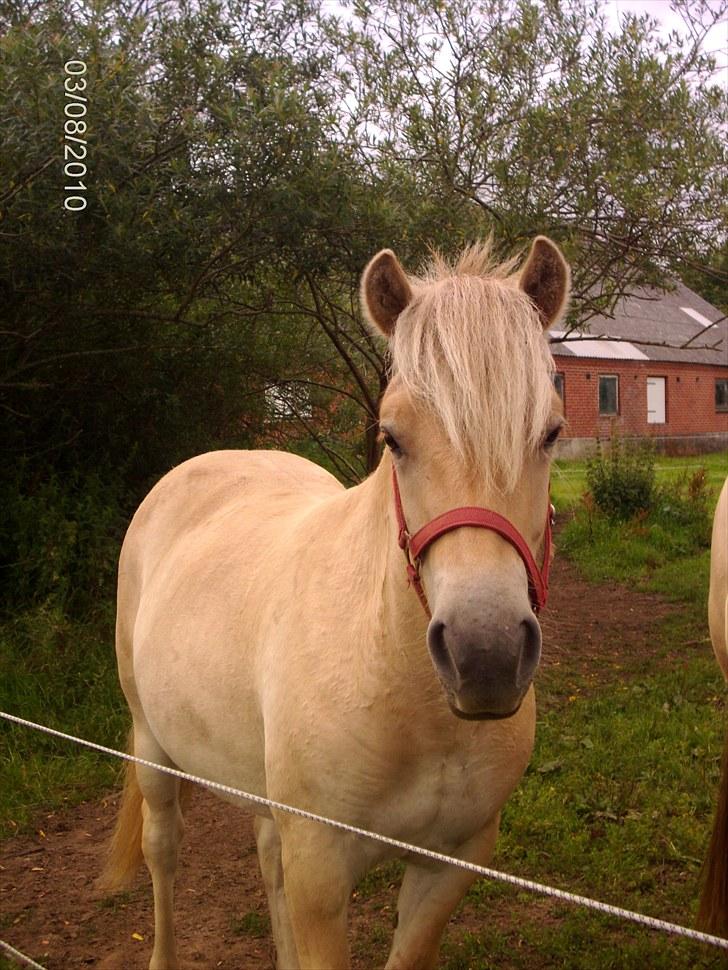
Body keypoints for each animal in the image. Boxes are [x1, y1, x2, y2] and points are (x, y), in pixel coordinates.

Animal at [99, 236, 572, 968]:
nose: (484, 655)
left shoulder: (449, 866)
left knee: (266, 859)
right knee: (163, 854)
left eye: (550, 432)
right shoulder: (321, 870)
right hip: (152, 745)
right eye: (392, 437)